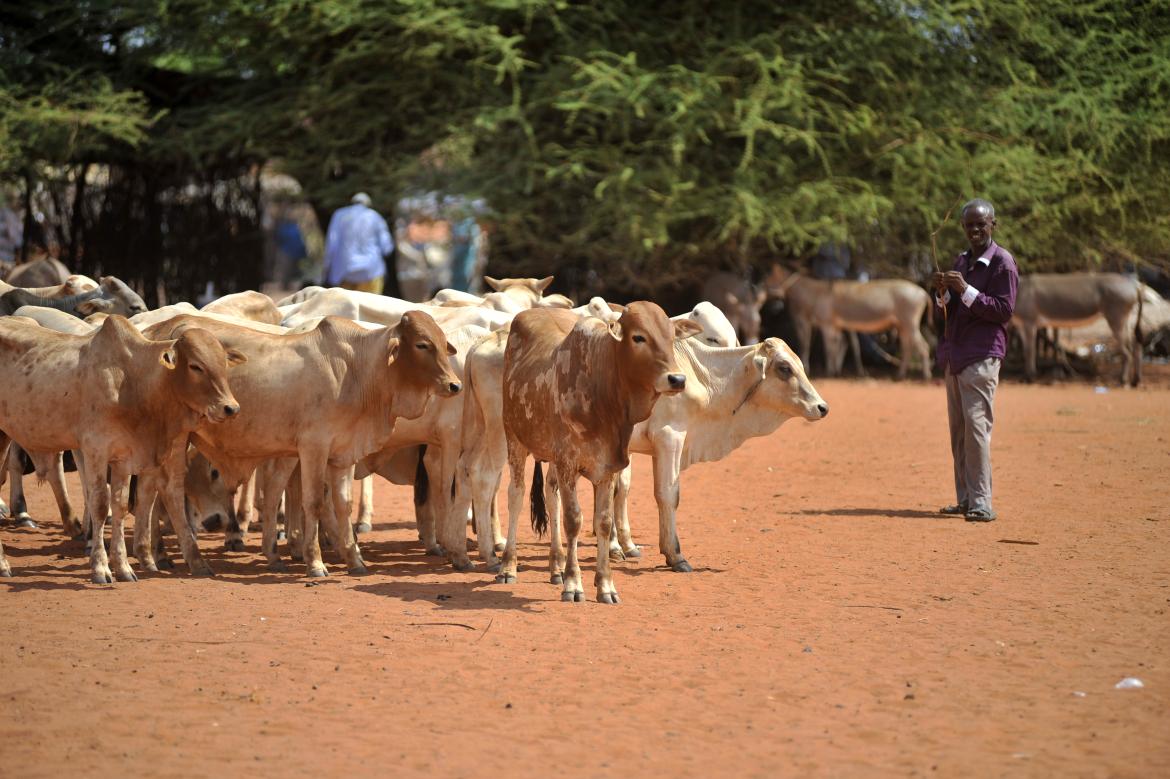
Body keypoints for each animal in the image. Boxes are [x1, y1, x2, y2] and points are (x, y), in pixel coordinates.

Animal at [0, 313, 243, 575]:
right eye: (195, 366)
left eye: (224, 363)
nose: (230, 408)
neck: (131, 381)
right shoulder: (94, 450)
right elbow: (99, 503)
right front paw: (101, 567)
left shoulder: (126, 457)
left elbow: (121, 504)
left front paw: (124, 567)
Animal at [498, 298, 697, 598]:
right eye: (638, 337)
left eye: (672, 337)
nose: (677, 379)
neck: (602, 391)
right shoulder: (568, 463)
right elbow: (573, 520)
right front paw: (573, 584)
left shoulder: (608, 466)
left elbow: (603, 521)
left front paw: (605, 585)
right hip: (515, 440)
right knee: (516, 496)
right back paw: (509, 566)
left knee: (551, 495)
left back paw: (555, 567)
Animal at [767, 266, 931, 378]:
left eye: (769, 277)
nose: (762, 287)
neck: (817, 292)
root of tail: (923, 292)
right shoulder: (834, 325)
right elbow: (838, 345)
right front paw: (836, 370)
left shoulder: (827, 324)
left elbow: (830, 348)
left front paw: (829, 372)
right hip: (902, 325)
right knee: (907, 347)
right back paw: (900, 374)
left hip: (910, 323)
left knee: (923, 346)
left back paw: (926, 376)